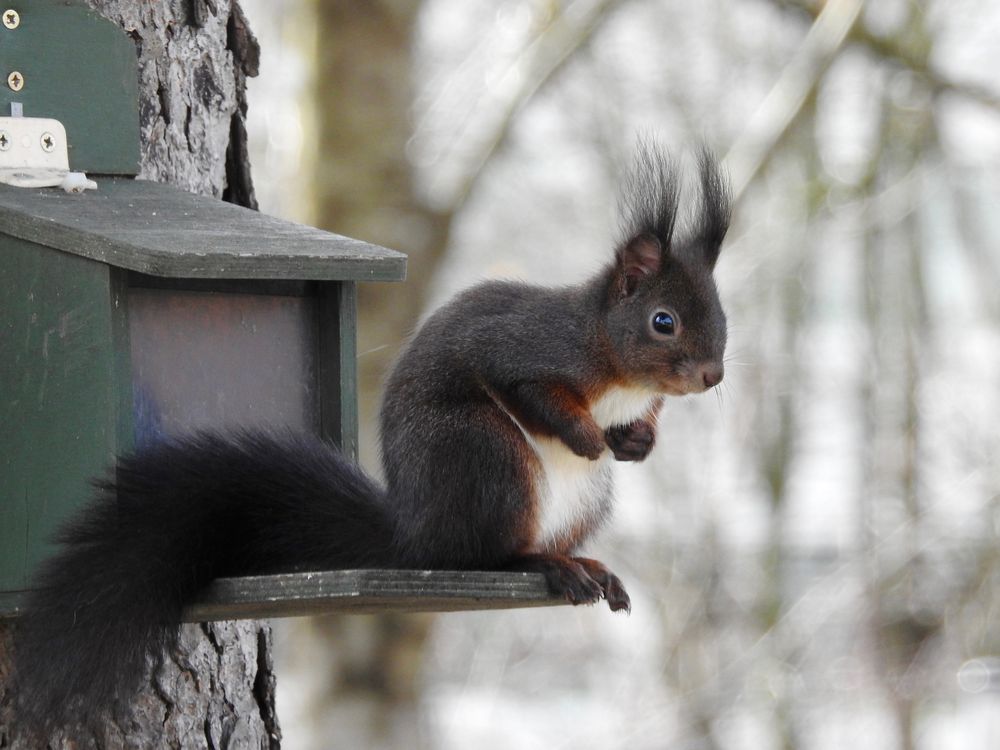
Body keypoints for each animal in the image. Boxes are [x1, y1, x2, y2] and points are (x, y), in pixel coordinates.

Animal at [5, 140, 728, 728]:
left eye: (720, 315)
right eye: (663, 321)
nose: (714, 375)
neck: (615, 366)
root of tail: (413, 535)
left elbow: (642, 425)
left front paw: (636, 443)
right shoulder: (526, 352)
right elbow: (532, 393)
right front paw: (586, 437)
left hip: (575, 498)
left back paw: (586, 563)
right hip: (485, 456)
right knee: (482, 554)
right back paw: (542, 562)